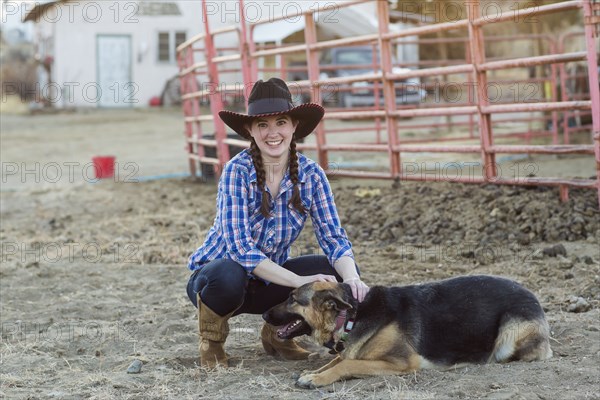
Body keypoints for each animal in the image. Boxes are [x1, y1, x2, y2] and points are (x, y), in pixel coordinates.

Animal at [262, 276, 552, 388]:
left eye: (292, 298)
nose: (264, 315)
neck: (352, 316)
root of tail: (534, 296)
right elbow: (337, 360)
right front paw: (312, 373)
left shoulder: (399, 362)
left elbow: (345, 364)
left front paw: (318, 378)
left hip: (509, 335)